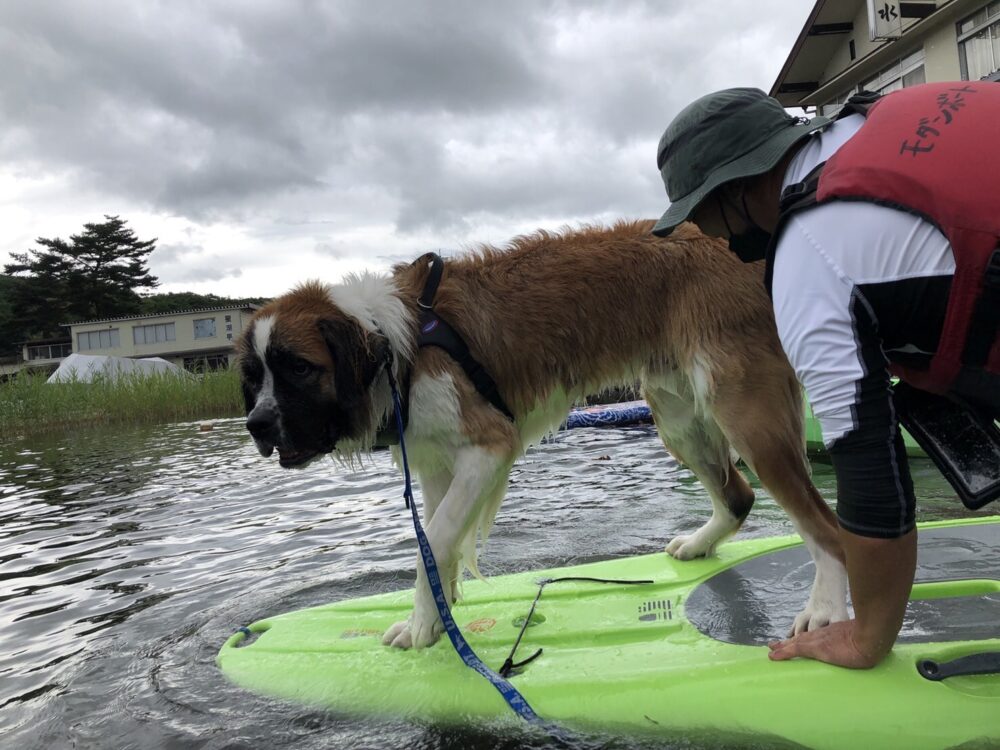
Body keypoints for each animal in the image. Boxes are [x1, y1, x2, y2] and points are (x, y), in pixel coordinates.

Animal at [238, 220, 848, 648]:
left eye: (298, 368)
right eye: (253, 375)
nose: (257, 425)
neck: (394, 348)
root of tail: (730, 245)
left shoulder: (489, 447)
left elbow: (436, 539)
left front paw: (421, 626)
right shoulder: (435, 462)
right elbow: (436, 541)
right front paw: (439, 614)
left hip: (745, 413)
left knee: (824, 525)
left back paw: (824, 611)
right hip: (676, 413)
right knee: (739, 495)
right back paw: (701, 543)